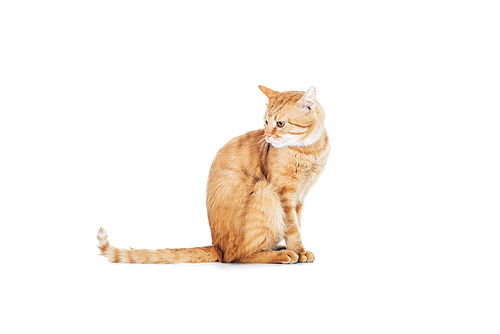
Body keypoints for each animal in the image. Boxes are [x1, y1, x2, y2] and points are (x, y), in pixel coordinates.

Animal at [98, 86, 330, 264]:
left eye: (280, 123)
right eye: (265, 122)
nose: (267, 136)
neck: (309, 151)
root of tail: (217, 246)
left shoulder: (300, 197)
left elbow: (297, 224)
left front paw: (299, 249)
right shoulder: (284, 193)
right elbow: (292, 227)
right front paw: (298, 251)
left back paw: (279, 248)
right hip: (265, 193)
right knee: (237, 257)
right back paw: (281, 255)